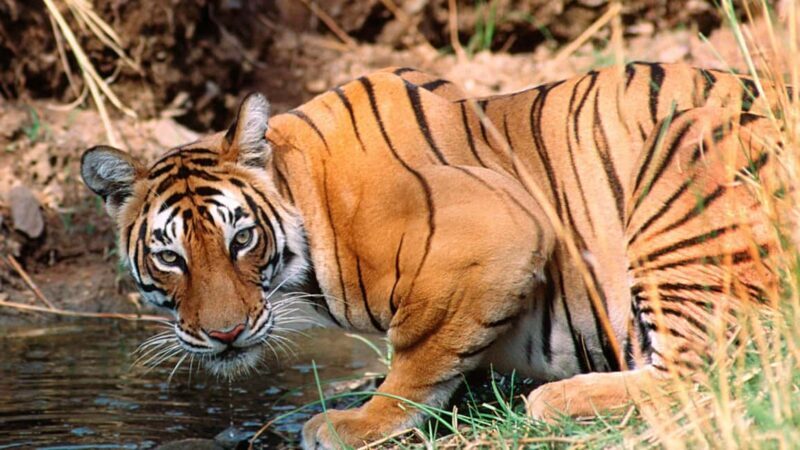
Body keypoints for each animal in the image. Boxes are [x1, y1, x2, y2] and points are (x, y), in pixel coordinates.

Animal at [80, 62, 792, 449]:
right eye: (172, 259)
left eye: (241, 239)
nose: (225, 335)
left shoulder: (500, 232)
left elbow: (419, 355)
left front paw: (357, 422)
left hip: (683, 158)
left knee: (712, 370)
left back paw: (554, 399)